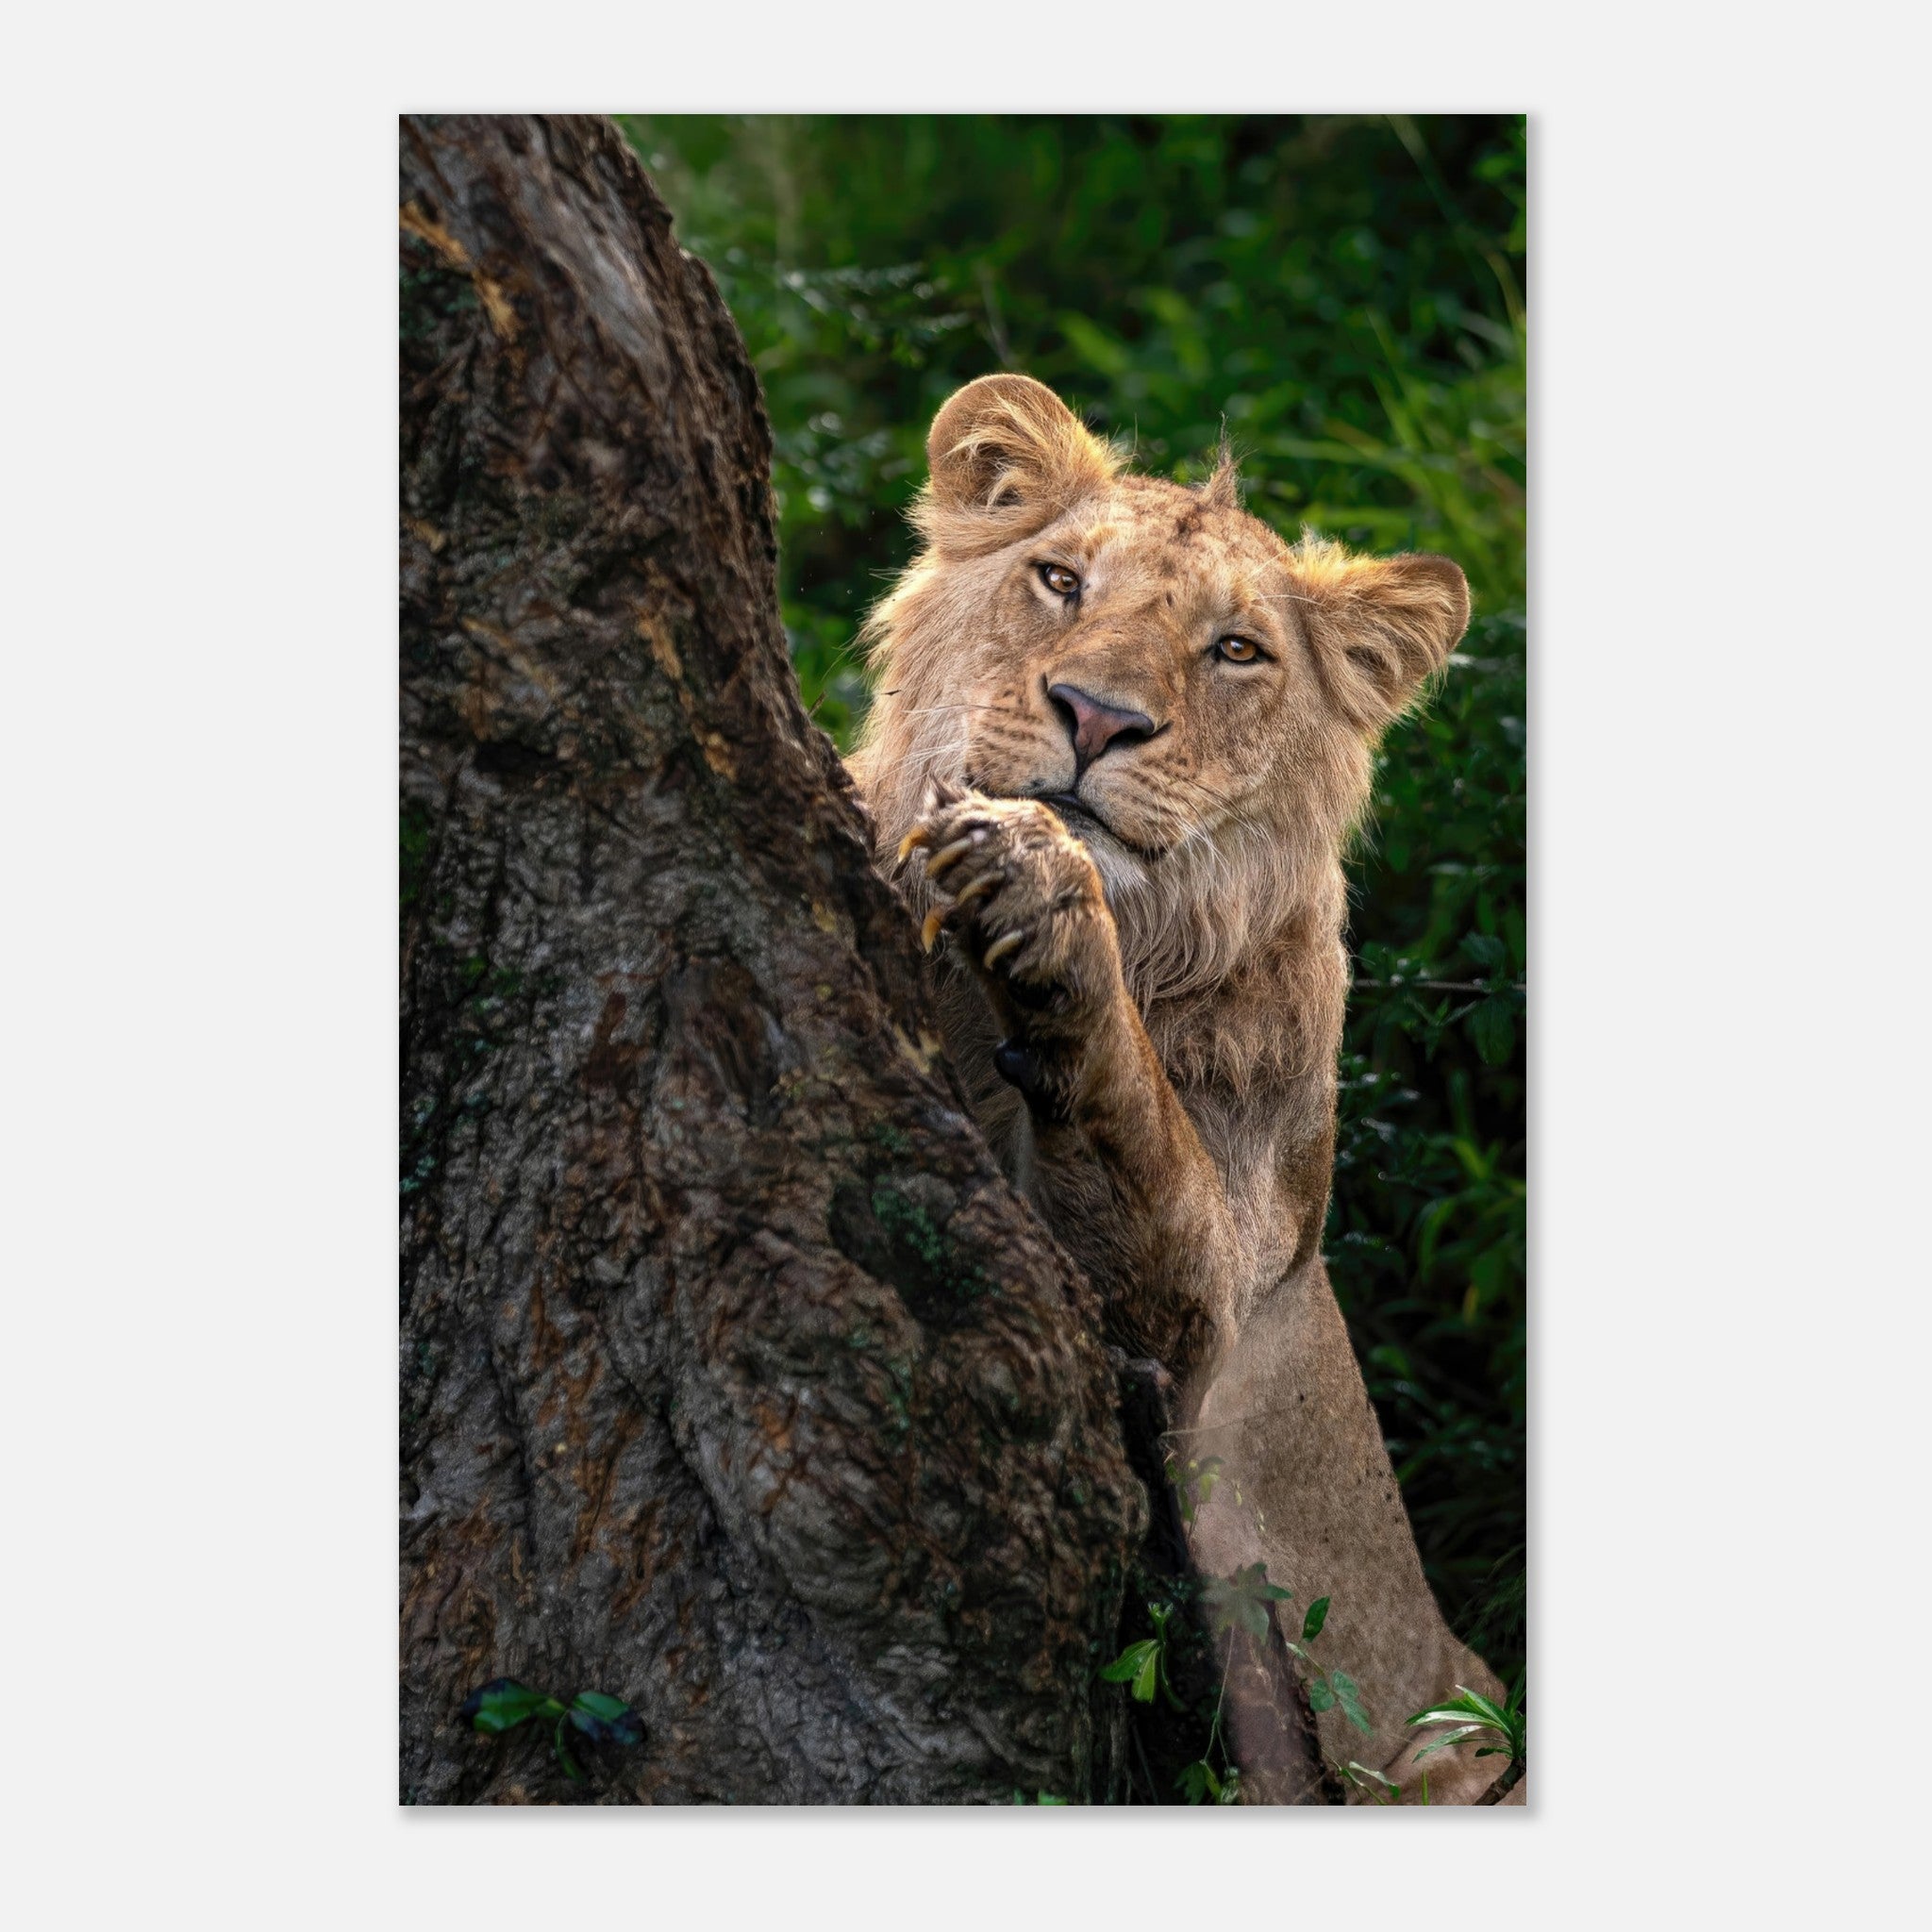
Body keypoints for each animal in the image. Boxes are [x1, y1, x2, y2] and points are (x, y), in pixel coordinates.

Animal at [846, 374, 1514, 1804]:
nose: (1097, 717)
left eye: (1236, 652)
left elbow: (1140, 1138)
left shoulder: (1210, 1320)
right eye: (1057, 579)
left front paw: (1040, 885)